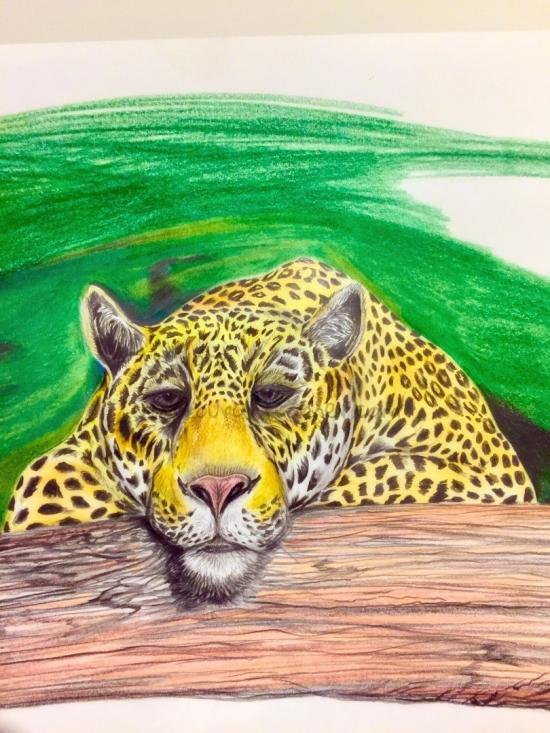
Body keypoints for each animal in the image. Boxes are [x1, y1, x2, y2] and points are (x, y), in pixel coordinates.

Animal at [2, 257, 536, 602]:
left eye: (271, 396)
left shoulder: (495, 476)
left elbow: (382, 477)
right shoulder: (61, 464)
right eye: (168, 400)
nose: (217, 490)